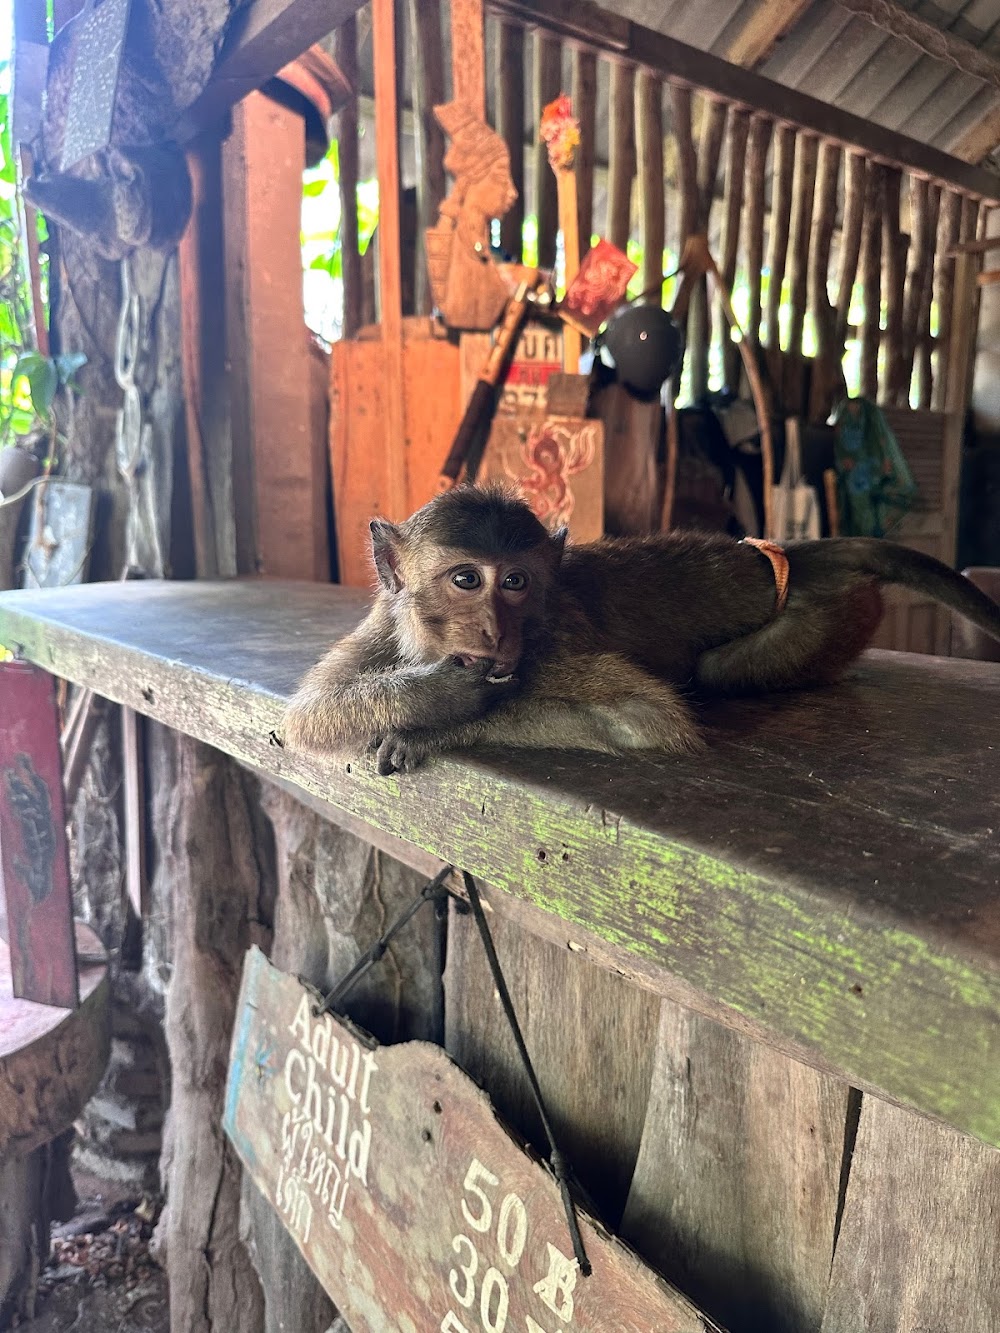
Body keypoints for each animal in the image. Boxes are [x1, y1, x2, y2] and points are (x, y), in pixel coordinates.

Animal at [280, 485, 1000, 778]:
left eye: (515, 581)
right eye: (465, 579)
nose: (493, 630)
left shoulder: (556, 641)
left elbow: (644, 718)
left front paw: (434, 725)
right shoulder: (384, 624)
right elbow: (307, 716)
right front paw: (433, 695)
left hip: (831, 616)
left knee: (713, 671)